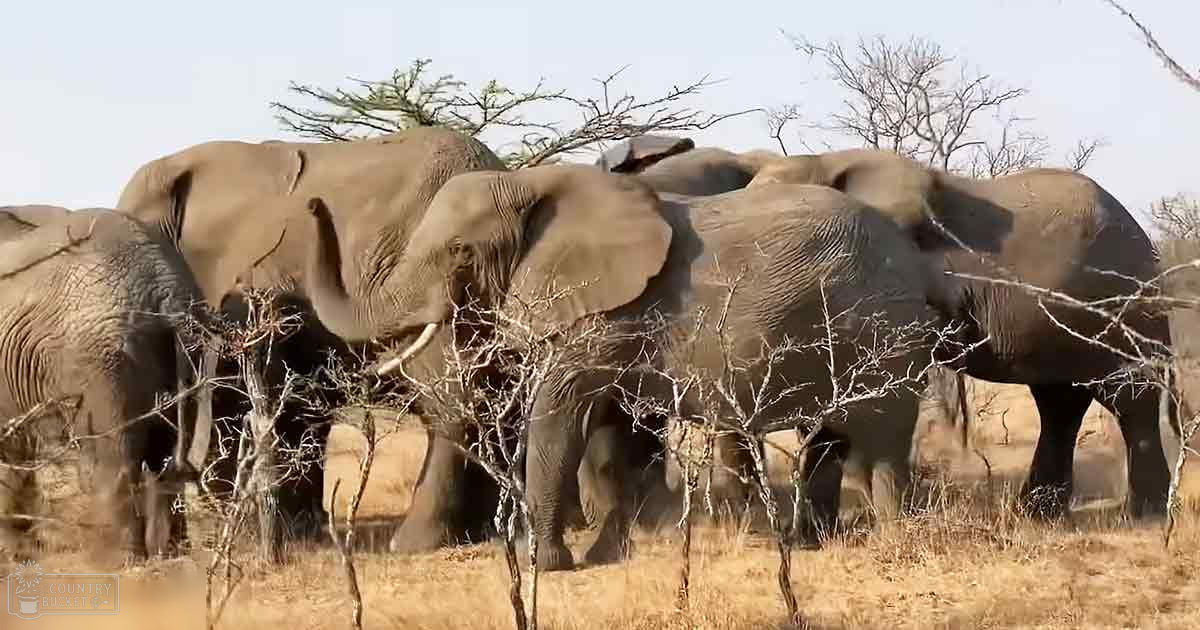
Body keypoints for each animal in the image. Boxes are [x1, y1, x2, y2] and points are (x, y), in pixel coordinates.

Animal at [0, 205, 213, 565]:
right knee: (165, 455)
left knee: (114, 457)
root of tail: (166, 292)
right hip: (190, 347)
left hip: (100, 359)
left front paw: (14, 554)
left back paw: (119, 561)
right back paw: (169, 554)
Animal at [296, 163, 943, 570]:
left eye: (459, 251)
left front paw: (547, 566)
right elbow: (621, 432)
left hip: (885, 331)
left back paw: (894, 544)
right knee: (836, 439)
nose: (312, 202)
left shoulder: (604, 315)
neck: (533, 182)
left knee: (882, 443)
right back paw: (808, 545)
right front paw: (606, 555)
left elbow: (560, 412)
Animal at [601, 135, 1177, 519]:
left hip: (1126, 303)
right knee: (1061, 399)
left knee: (1128, 395)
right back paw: (1040, 514)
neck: (824, 158)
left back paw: (1144, 515)